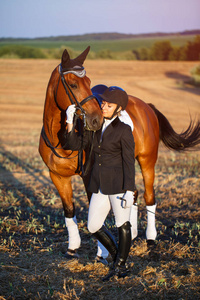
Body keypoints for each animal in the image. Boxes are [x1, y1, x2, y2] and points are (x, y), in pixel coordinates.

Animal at [39, 47, 200, 258]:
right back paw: (132, 232)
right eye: (73, 84)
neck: (60, 139)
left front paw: (102, 252)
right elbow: (69, 210)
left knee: (149, 196)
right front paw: (73, 247)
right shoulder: (57, 176)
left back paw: (151, 239)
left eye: (89, 82)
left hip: (147, 161)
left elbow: (95, 211)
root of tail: (146, 105)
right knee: (133, 193)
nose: (96, 120)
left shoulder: (90, 176)